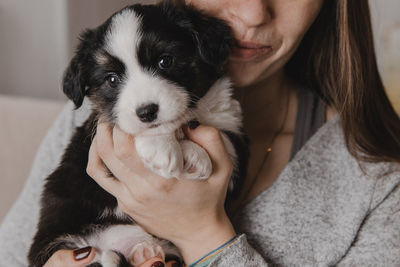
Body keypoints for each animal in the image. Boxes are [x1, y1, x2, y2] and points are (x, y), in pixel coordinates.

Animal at [28, 2, 247, 267]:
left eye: (165, 61)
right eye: (112, 79)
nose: (146, 112)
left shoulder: (233, 134)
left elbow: (223, 137)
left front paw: (195, 157)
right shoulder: (96, 145)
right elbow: (131, 128)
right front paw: (166, 150)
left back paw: (144, 251)